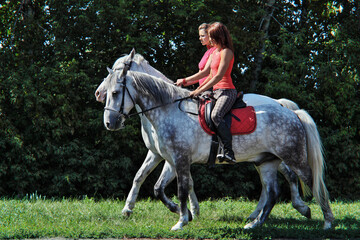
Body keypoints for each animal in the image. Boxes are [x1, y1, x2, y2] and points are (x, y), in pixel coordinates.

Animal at [99, 50, 334, 231]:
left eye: (116, 92)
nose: (109, 122)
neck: (167, 109)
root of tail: (291, 112)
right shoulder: (168, 158)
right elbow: (156, 186)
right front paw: (184, 213)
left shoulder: (180, 159)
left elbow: (182, 188)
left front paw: (182, 220)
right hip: (265, 161)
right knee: (272, 192)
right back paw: (255, 223)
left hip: (293, 158)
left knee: (312, 182)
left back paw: (325, 220)